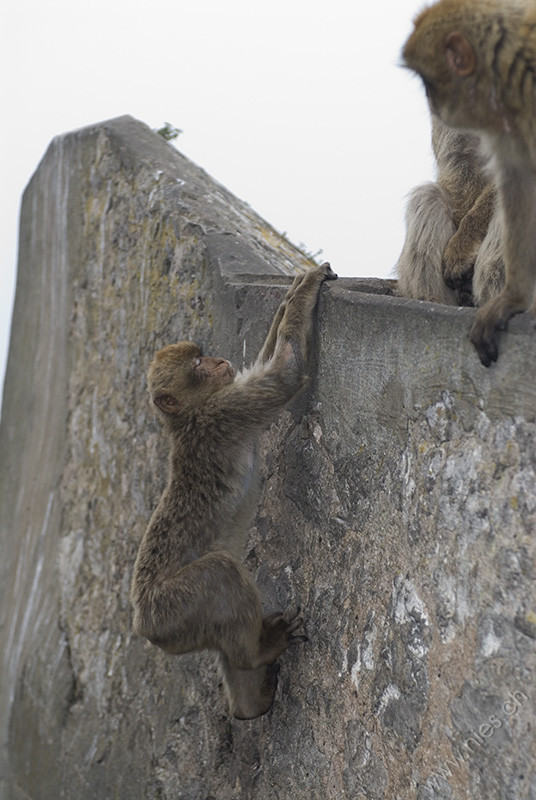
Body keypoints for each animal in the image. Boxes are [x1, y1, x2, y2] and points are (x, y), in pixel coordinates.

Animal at [130, 262, 338, 720]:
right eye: (197, 363)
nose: (219, 359)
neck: (188, 417)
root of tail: (144, 625)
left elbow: (267, 361)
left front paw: (287, 298)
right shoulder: (225, 412)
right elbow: (285, 374)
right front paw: (305, 293)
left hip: (189, 627)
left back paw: (249, 704)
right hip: (177, 608)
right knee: (221, 573)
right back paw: (258, 652)